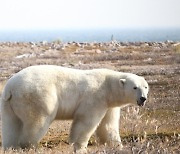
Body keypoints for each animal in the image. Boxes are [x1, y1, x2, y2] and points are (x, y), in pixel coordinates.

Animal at [0, 65, 149, 152]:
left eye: (145, 87)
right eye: (135, 87)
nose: (143, 98)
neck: (108, 86)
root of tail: (11, 88)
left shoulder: (109, 105)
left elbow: (108, 126)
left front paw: (118, 145)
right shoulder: (95, 98)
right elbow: (85, 122)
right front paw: (79, 146)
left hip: (8, 104)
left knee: (11, 125)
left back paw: (11, 146)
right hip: (37, 96)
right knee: (37, 121)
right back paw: (30, 146)